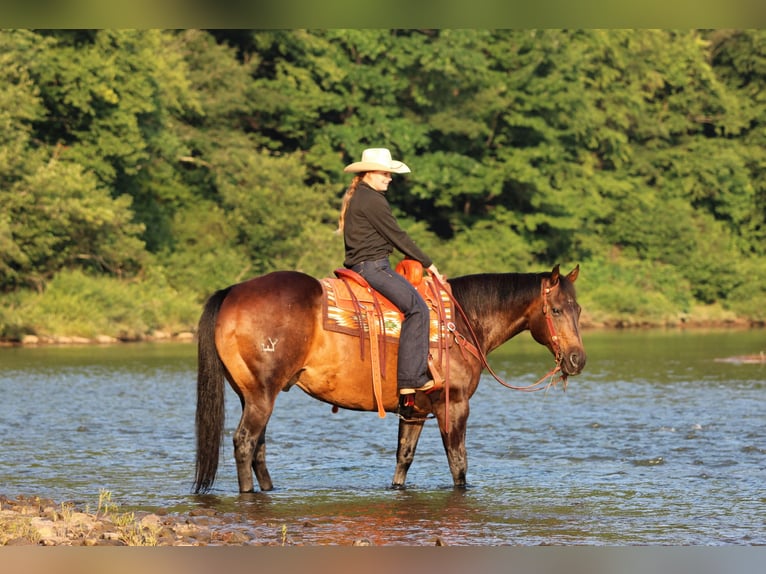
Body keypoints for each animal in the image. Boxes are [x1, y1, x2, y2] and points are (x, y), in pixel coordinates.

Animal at [193, 264, 585, 493]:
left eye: (578, 309)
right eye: (555, 310)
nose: (577, 359)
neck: (460, 323)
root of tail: (232, 291)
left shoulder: (415, 411)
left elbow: (403, 459)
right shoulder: (454, 406)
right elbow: (458, 465)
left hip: (252, 394)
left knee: (258, 446)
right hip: (261, 395)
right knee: (245, 442)